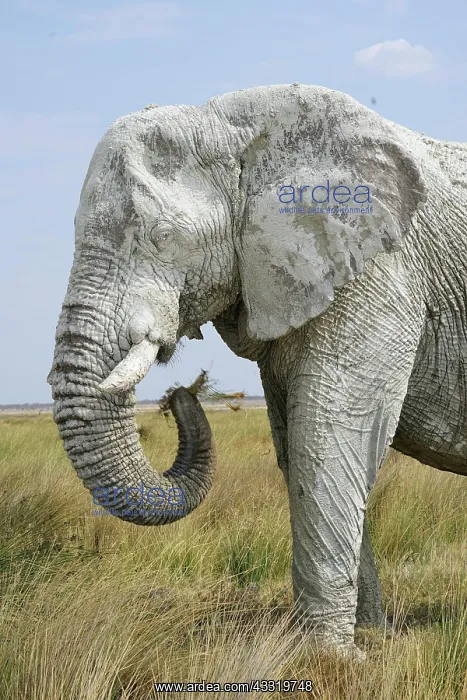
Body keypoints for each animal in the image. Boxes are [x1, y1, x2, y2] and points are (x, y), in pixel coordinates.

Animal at [48, 84, 467, 656]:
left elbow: (327, 438)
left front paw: (332, 658)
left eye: (162, 237)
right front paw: (367, 642)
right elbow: (297, 449)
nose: (182, 393)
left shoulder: (383, 272)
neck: (235, 125)